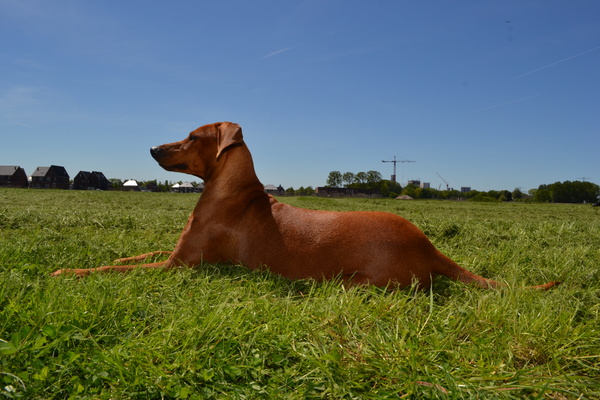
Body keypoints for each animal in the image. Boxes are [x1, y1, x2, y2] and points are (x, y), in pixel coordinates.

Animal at [51, 122, 556, 290]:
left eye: (192, 137)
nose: (153, 149)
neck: (232, 192)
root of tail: (432, 248)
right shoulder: (173, 254)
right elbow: (132, 255)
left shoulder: (179, 267)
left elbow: (108, 269)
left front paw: (65, 270)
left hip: (366, 280)